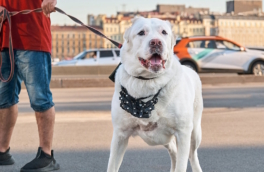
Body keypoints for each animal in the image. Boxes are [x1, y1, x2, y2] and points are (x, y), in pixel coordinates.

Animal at [107, 16, 204, 172]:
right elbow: (111, 166)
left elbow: (182, 164)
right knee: (174, 152)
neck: (147, 81)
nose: (156, 42)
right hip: (163, 138)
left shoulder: (183, 133)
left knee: (192, 155)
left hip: (194, 132)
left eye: (164, 32)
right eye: (141, 32)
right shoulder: (120, 135)